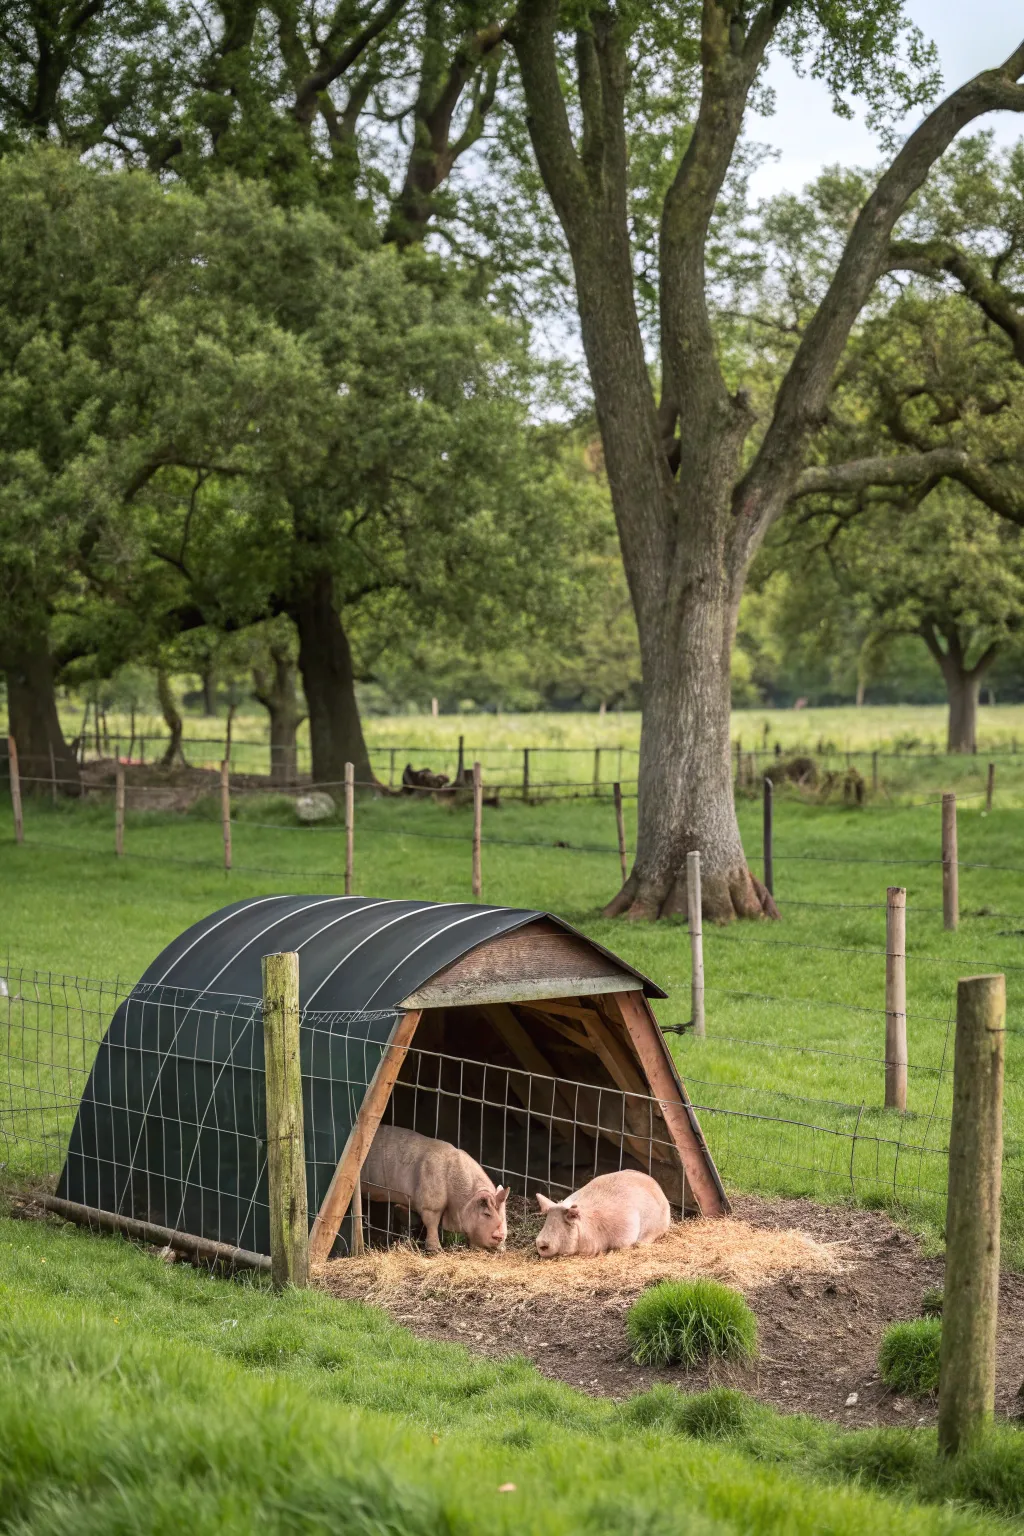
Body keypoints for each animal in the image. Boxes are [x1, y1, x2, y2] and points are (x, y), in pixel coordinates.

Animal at [360, 1125, 508, 1254]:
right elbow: (432, 1222)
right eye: (486, 1214)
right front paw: (436, 1250)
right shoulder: (430, 1202)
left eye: (503, 1215)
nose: (501, 1235)